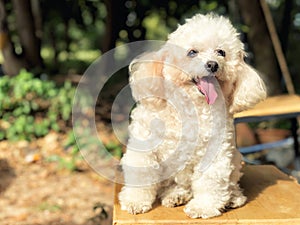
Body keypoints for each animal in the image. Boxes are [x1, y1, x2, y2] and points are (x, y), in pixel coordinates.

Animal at [118, 13, 266, 219]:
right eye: (192, 52)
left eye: (221, 52)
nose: (212, 64)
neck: (191, 106)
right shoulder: (144, 147)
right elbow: (141, 174)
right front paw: (135, 201)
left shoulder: (215, 151)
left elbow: (210, 180)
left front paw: (203, 207)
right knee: (175, 185)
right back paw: (176, 195)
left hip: (235, 158)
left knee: (229, 183)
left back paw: (232, 198)